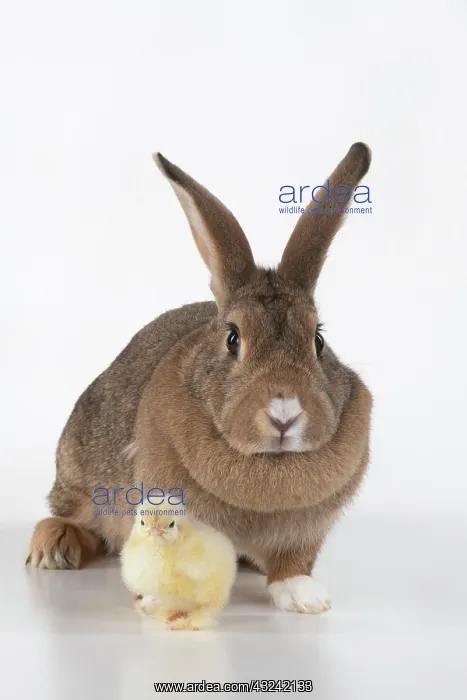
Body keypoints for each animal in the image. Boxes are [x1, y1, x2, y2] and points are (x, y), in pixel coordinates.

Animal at [26, 143, 372, 614]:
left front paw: (304, 597)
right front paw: (159, 599)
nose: (284, 414)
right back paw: (53, 547)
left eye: (317, 340)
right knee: (73, 516)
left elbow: (293, 561)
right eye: (233, 338)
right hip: (78, 470)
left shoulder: (307, 528)